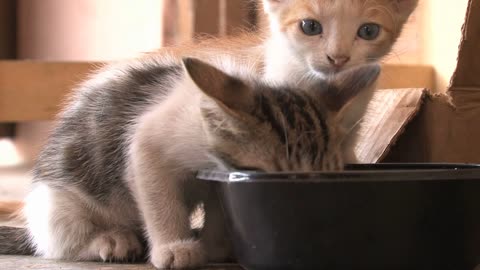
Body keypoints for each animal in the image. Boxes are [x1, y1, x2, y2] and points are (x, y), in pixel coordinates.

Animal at [0, 54, 380, 268]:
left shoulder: (220, 178)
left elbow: (221, 209)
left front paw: (216, 246)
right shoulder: (146, 143)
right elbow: (159, 197)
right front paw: (175, 248)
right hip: (56, 202)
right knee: (59, 240)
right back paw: (111, 240)